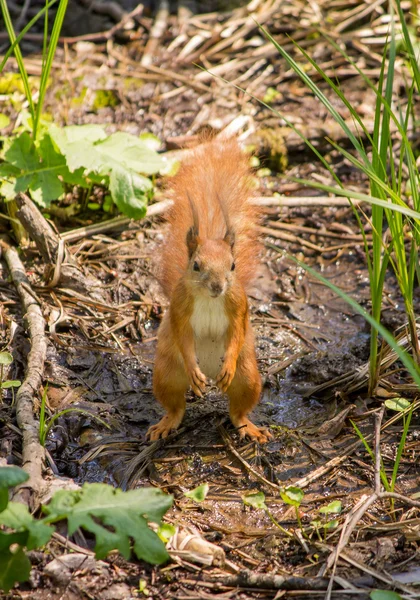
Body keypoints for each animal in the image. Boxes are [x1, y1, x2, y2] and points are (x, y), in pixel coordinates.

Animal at [148, 137, 270, 446]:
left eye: (233, 265)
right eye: (196, 265)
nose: (217, 286)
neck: (210, 299)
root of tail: (212, 375)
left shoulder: (239, 305)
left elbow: (237, 331)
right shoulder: (179, 307)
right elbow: (182, 333)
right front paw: (194, 368)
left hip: (248, 377)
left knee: (238, 410)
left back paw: (249, 426)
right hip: (167, 374)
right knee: (175, 405)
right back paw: (167, 422)